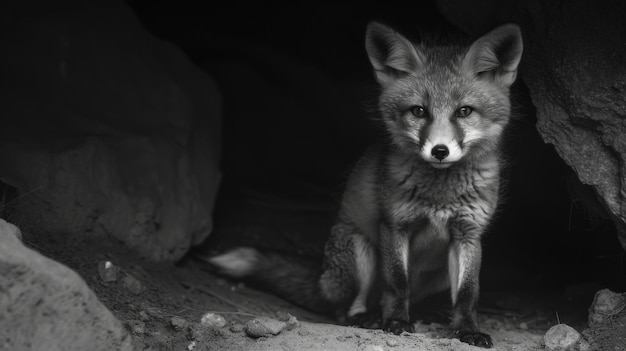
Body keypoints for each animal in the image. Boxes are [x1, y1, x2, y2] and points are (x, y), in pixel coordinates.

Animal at [205, 22, 520, 350]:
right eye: (419, 111)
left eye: (464, 111)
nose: (440, 151)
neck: (440, 195)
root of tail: (322, 275)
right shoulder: (394, 225)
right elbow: (397, 283)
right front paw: (396, 322)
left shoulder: (468, 234)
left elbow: (469, 293)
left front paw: (467, 330)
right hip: (360, 253)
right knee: (346, 307)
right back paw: (365, 317)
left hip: (438, 273)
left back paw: (426, 313)